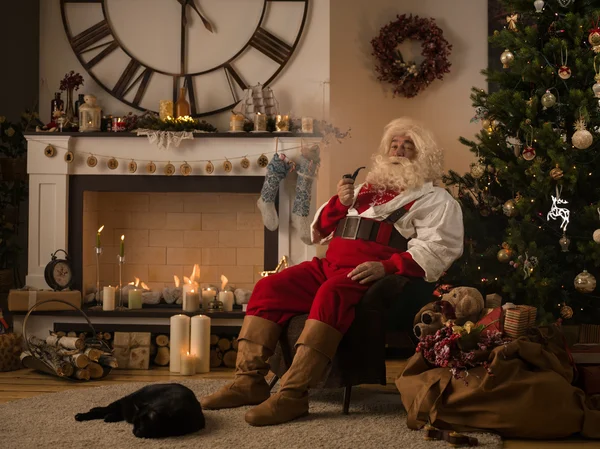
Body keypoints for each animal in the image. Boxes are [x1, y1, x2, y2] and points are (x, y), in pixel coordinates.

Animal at [74, 382, 206, 438]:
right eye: (134, 425)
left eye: (139, 426)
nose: (133, 431)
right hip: (125, 402)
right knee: (102, 410)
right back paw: (81, 415)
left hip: (127, 409)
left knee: (118, 413)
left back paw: (110, 417)